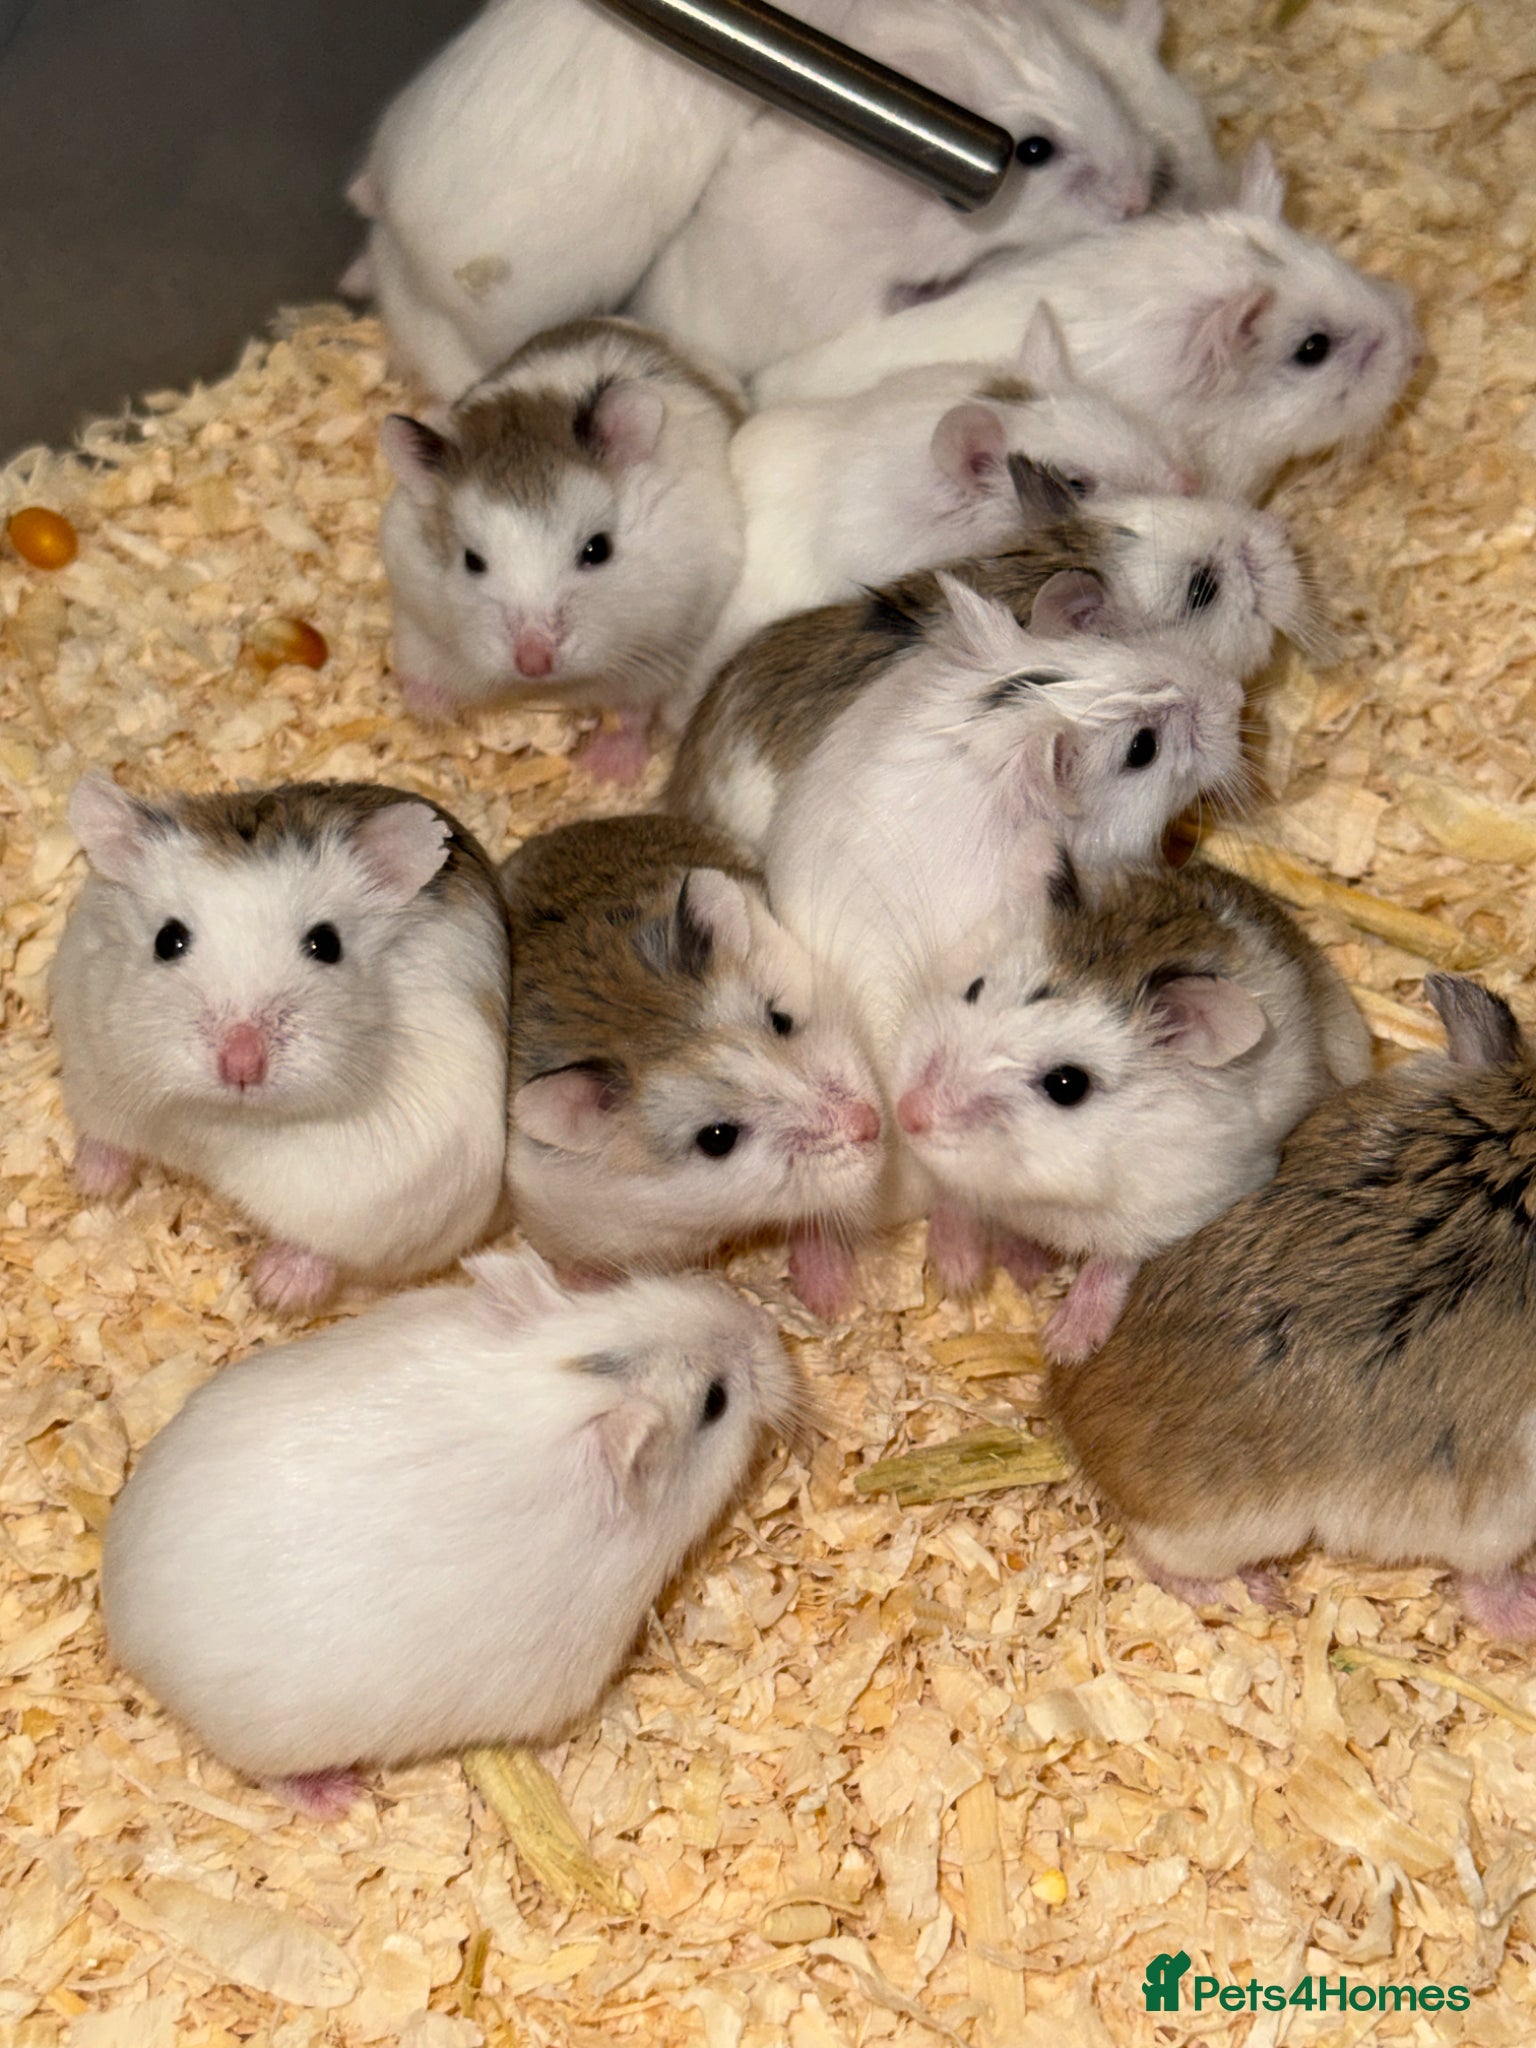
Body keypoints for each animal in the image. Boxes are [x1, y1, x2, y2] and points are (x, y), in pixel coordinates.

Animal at [49, 774, 511, 1313]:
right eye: (168, 940)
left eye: (326, 944)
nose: (241, 1065)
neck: (226, 1123)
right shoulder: (92, 1061)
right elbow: (106, 1138)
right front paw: (91, 1187)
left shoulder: (398, 1187)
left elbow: (326, 1248)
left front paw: (268, 1290)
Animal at [102, 1247, 803, 1809]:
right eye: (715, 1402)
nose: (767, 1326)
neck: (554, 1407)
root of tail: (123, 1623)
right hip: (271, 1740)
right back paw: (341, 1800)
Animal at [379, 319, 746, 783]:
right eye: (471, 561)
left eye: (597, 549)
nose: (534, 663)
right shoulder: (413, 612)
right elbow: (419, 669)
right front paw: (433, 721)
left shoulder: (660, 650)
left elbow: (631, 713)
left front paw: (602, 773)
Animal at [893, 857, 1373, 1358]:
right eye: (973, 988)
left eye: (1067, 1085)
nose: (908, 1113)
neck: (1033, 1187)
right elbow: (956, 1200)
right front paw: (958, 1278)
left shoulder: (1171, 1210)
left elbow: (1114, 1261)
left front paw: (1064, 1344)